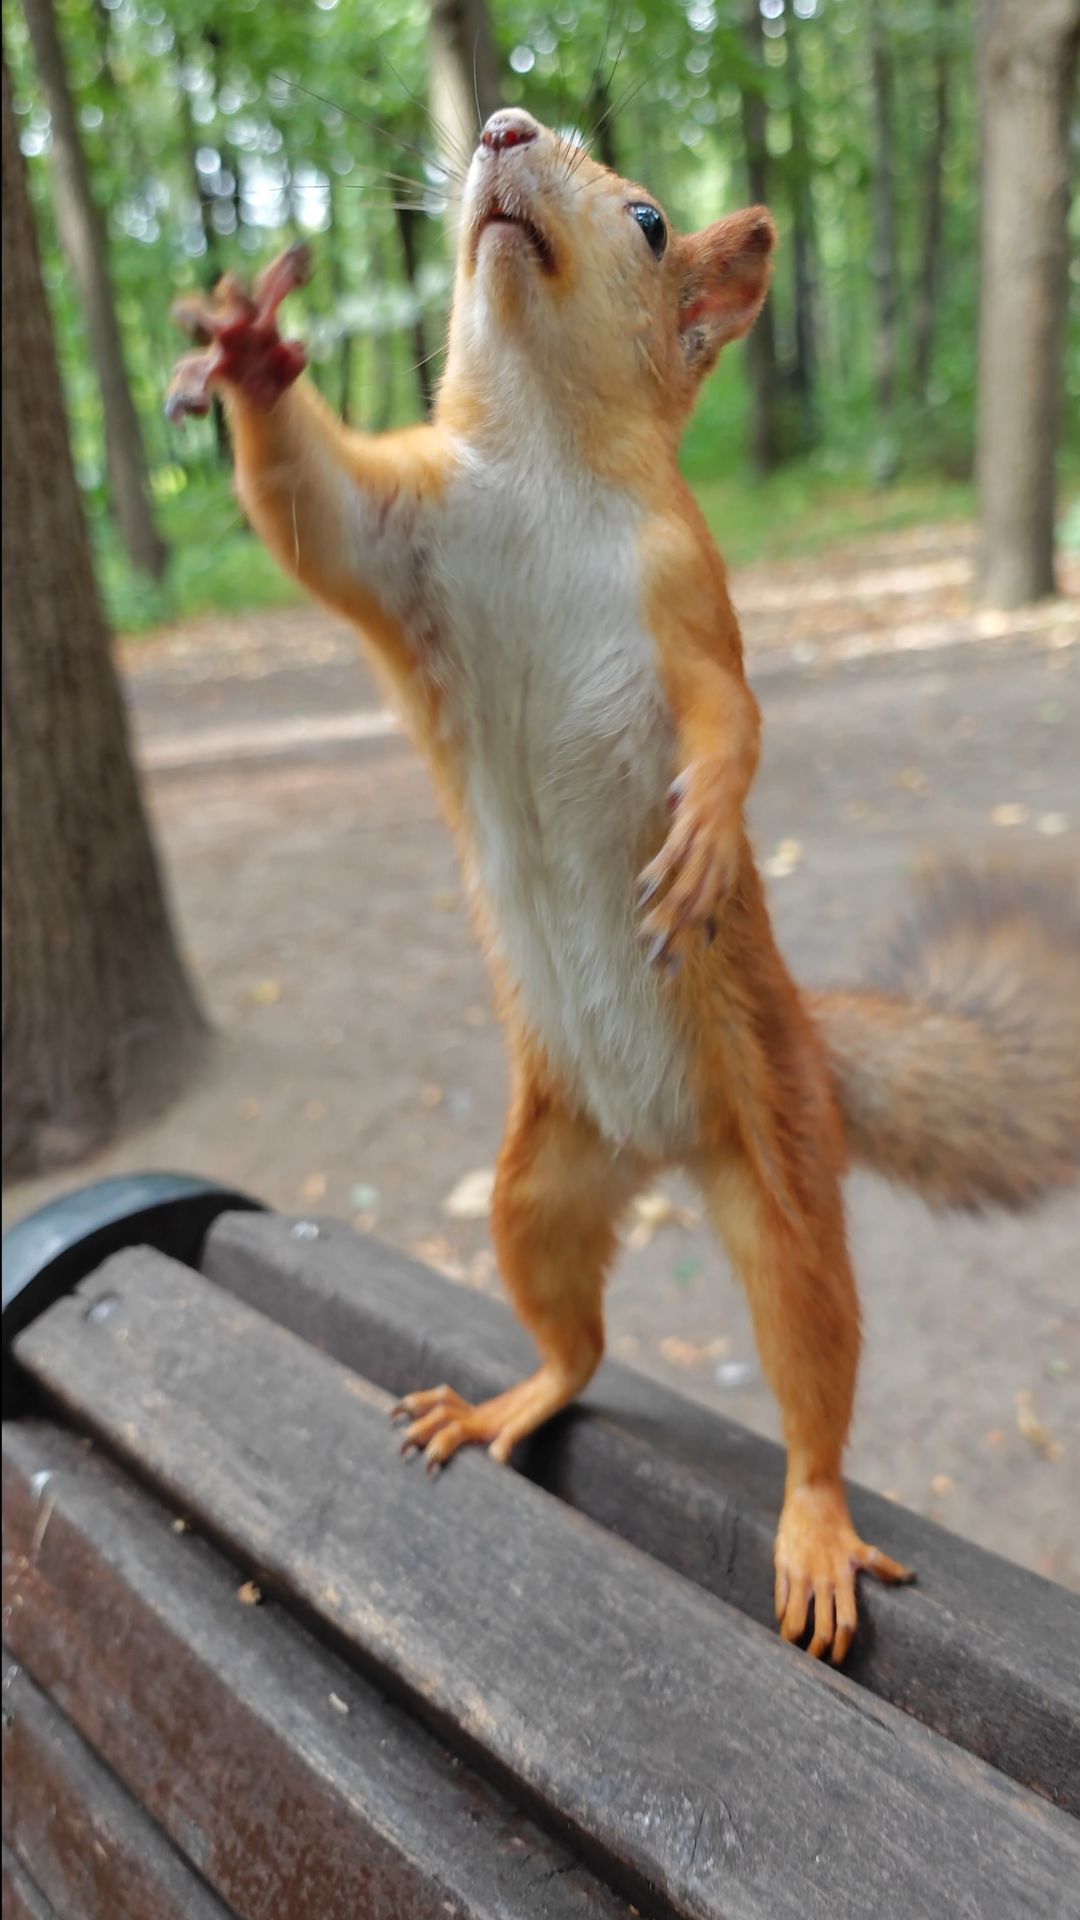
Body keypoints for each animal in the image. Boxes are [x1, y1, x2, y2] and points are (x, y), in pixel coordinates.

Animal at [168, 108, 1080, 1665]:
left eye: (651, 221)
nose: (501, 128)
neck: (541, 457)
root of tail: (661, 1149)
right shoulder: (396, 538)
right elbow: (306, 511)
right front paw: (249, 353)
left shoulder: (690, 603)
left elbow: (733, 723)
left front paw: (706, 833)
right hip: (536, 1185)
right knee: (575, 1346)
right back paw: (502, 1400)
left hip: (780, 1175)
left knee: (814, 1381)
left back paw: (815, 1525)